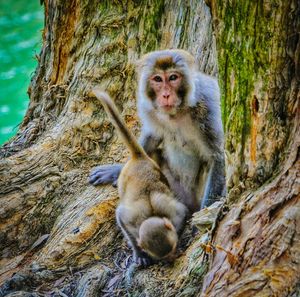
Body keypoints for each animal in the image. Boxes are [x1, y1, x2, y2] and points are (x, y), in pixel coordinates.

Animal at [89, 50, 225, 213]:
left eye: (173, 77)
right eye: (158, 79)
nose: (166, 95)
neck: (178, 112)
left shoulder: (208, 110)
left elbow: (217, 157)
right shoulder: (150, 110)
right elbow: (152, 136)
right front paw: (117, 170)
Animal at [90, 87, 188, 264]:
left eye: (173, 248)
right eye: (165, 256)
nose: (172, 259)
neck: (152, 215)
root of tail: (139, 157)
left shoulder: (174, 212)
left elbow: (182, 212)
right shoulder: (131, 219)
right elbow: (121, 219)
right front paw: (139, 253)